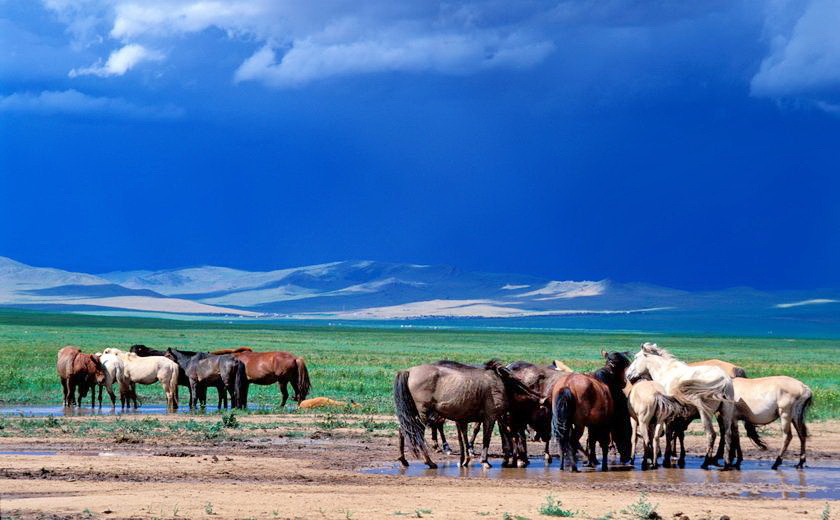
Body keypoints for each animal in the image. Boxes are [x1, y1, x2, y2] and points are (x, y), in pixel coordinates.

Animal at [394, 359, 544, 469]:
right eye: (542, 412)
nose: (538, 436)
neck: (503, 386)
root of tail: (408, 371)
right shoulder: (490, 417)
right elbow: (487, 439)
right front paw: (485, 461)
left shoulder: (464, 419)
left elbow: (464, 440)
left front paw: (465, 461)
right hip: (422, 414)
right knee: (416, 433)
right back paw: (430, 462)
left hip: (412, 413)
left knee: (403, 430)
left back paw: (404, 460)